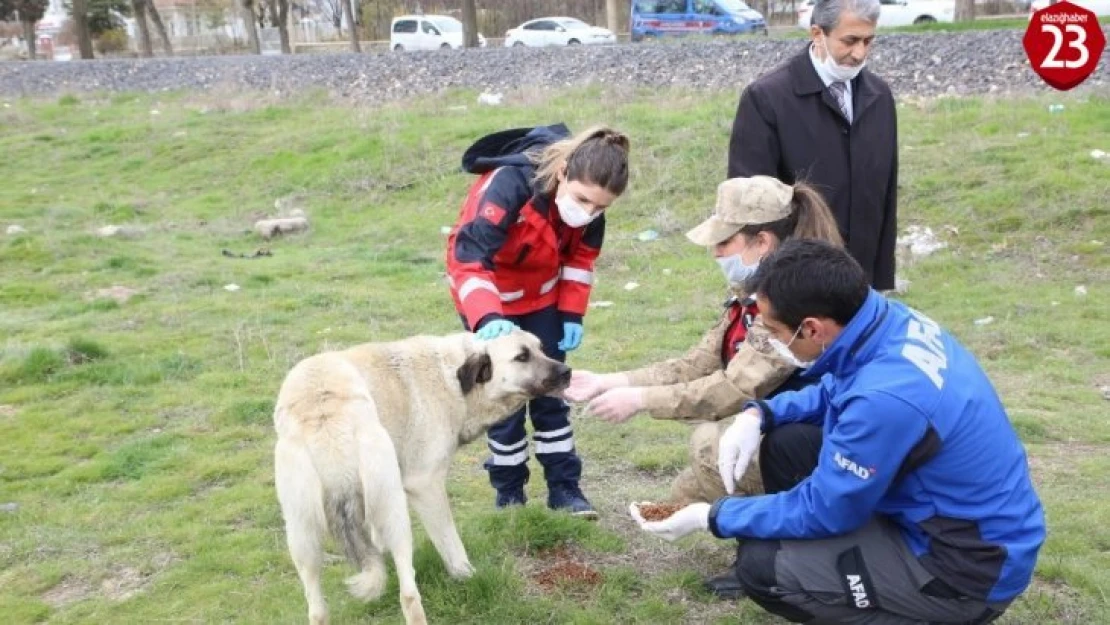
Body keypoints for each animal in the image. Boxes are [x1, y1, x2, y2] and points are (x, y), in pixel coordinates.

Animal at [270, 330, 572, 621]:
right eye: (522, 357)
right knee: (409, 595)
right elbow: (451, 544)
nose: (567, 371)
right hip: (397, 515)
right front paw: (466, 576)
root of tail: (323, 412)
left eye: (541, 348)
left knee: (317, 609)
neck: (454, 376)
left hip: (301, 535)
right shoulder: (425, 484)